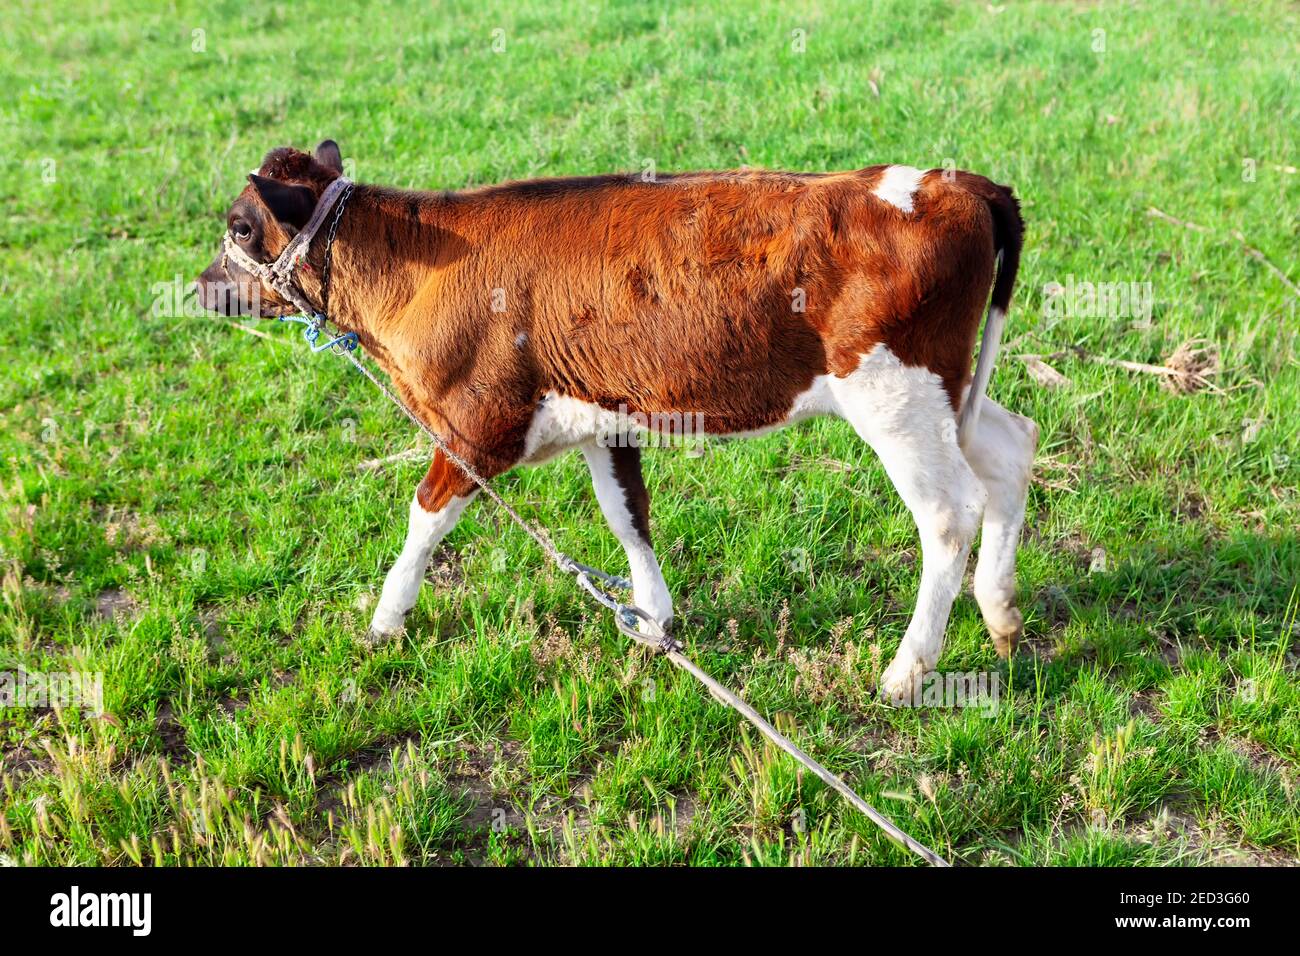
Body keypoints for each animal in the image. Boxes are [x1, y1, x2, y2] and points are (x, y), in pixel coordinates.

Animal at [196, 140, 1037, 702]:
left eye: (240, 228)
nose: (201, 287)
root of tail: (956, 183)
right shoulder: (606, 418)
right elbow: (627, 513)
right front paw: (654, 621)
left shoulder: (477, 425)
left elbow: (424, 518)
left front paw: (384, 621)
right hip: (946, 390)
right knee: (1011, 447)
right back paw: (1000, 616)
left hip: (894, 395)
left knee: (949, 513)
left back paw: (906, 671)